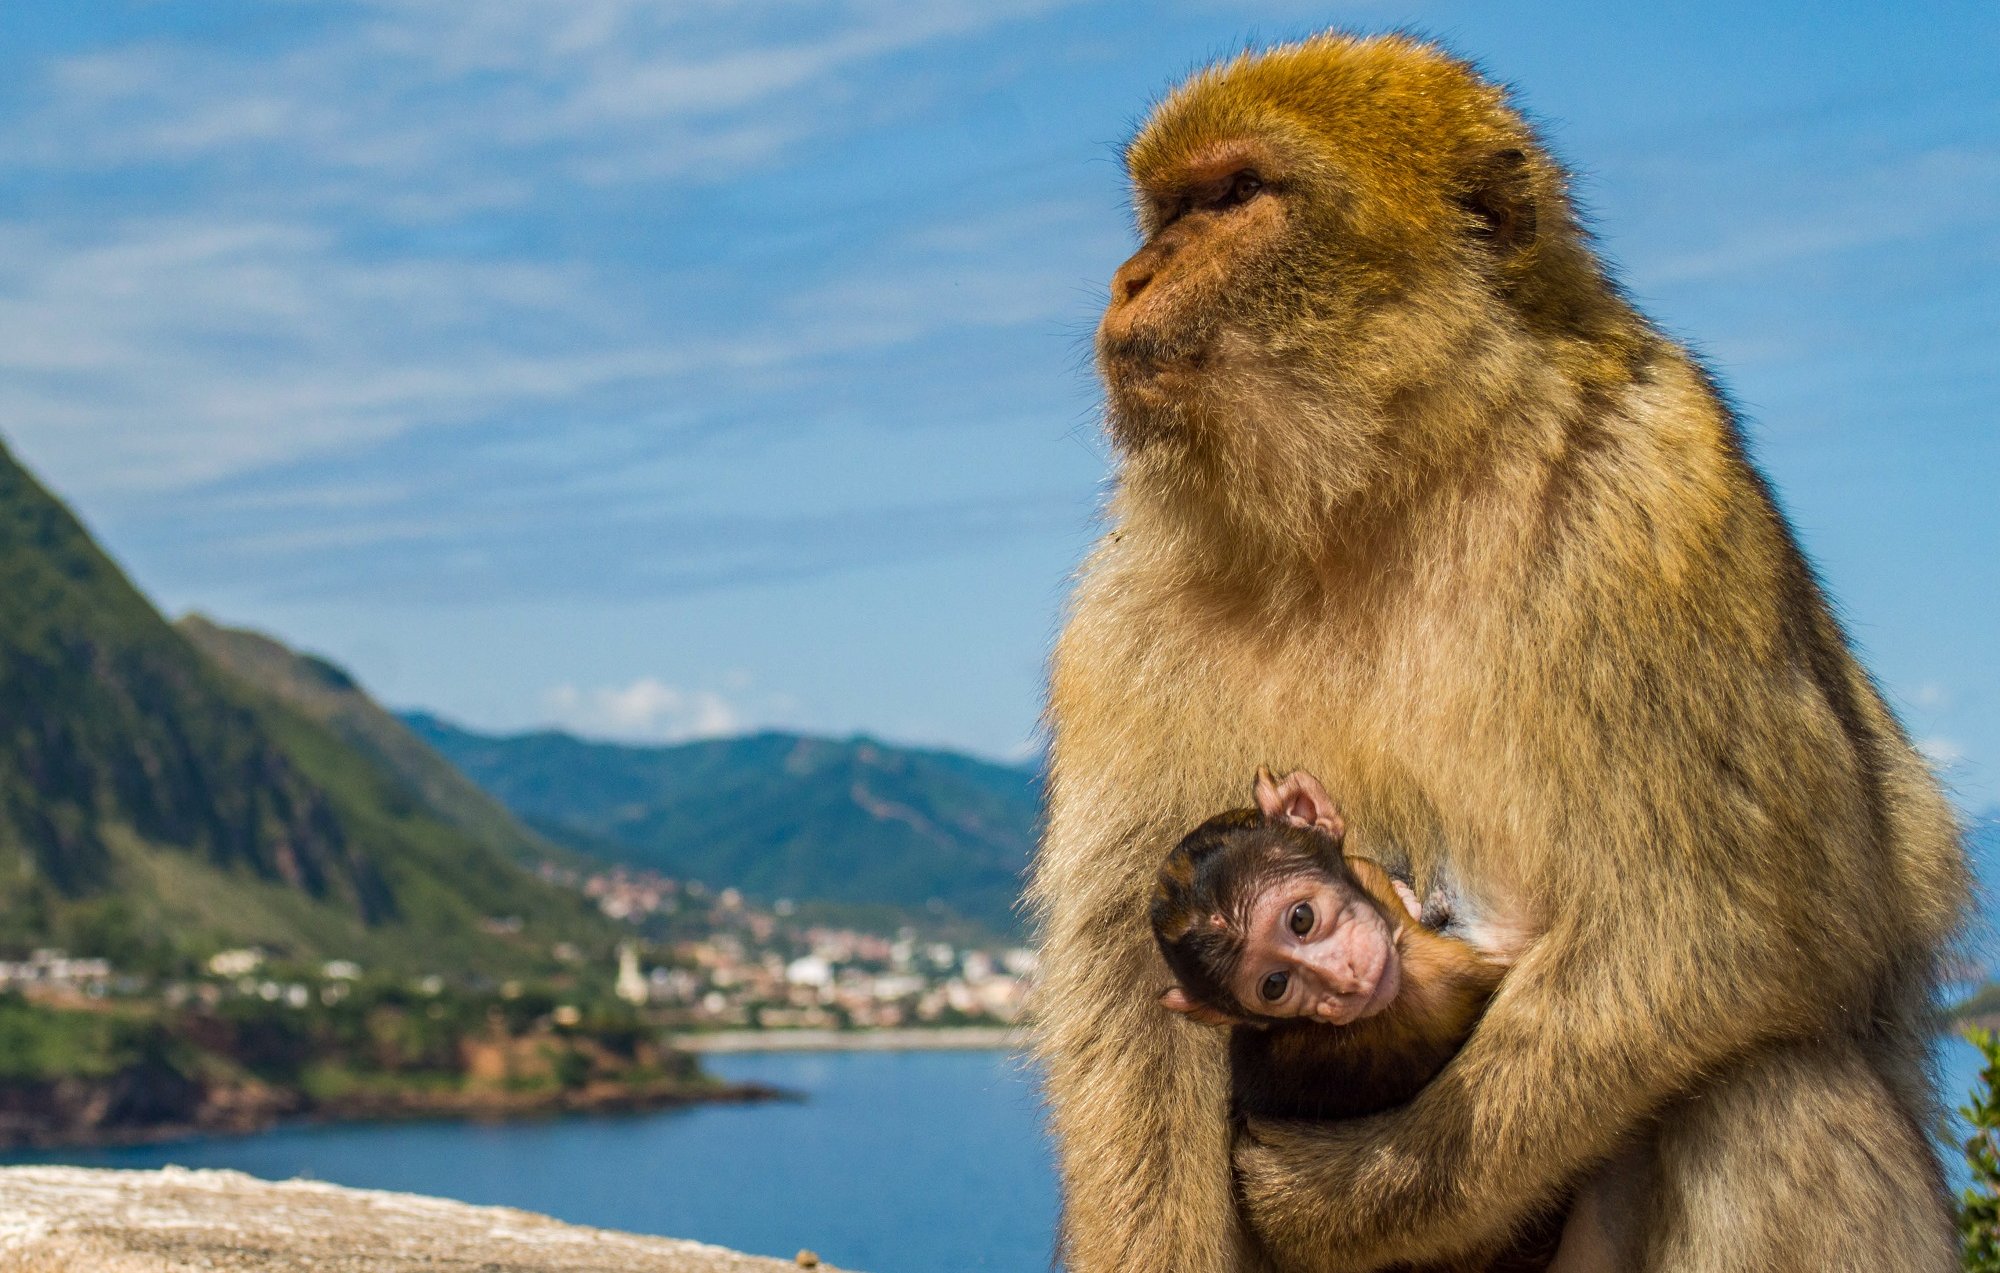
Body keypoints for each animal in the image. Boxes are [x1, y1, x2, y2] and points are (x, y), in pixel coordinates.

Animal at [1028, 29, 1966, 1273]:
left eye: (1231, 196)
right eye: (1163, 209)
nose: (1130, 278)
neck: (1375, 490)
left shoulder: (1662, 487)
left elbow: (1718, 921)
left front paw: (1332, 1194)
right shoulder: (1126, 612)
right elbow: (1132, 1000)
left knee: (1772, 1090)